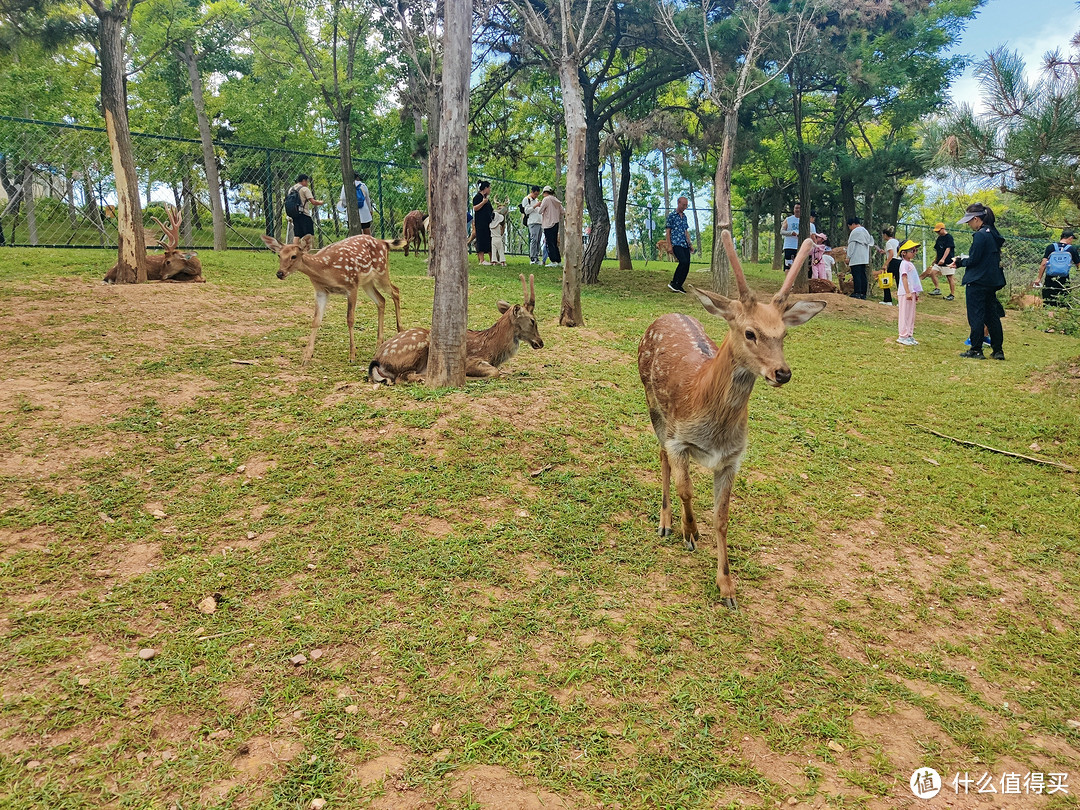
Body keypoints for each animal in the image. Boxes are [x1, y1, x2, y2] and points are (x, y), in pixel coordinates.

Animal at [262, 231, 408, 365]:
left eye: (294, 256)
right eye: (279, 255)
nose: (280, 273)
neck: (327, 272)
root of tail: (384, 243)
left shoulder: (351, 286)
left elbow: (350, 319)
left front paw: (352, 356)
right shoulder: (321, 291)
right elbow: (316, 321)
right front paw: (306, 357)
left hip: (381, 272)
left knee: (396, 291)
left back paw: (400, 331)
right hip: (367, 282)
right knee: (381, 300)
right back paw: (379, 344)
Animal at [369, 274, 544, 384]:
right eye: (532, 320)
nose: (540, 342)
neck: (493, 350)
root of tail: (378, 359)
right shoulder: (471, 359)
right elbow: (495, 372)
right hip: (418, 347)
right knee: (402, 377)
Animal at [635, 228, 820, 609]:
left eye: (784, 334)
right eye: (750, 333)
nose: (782, 373)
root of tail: (666, 315)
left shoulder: (733, 458)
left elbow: (722, 518)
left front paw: (727, 586)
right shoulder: (678, 438)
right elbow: (686, 488)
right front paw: (690, 533)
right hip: (652, 403)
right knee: (660, 456)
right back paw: (665, 523)